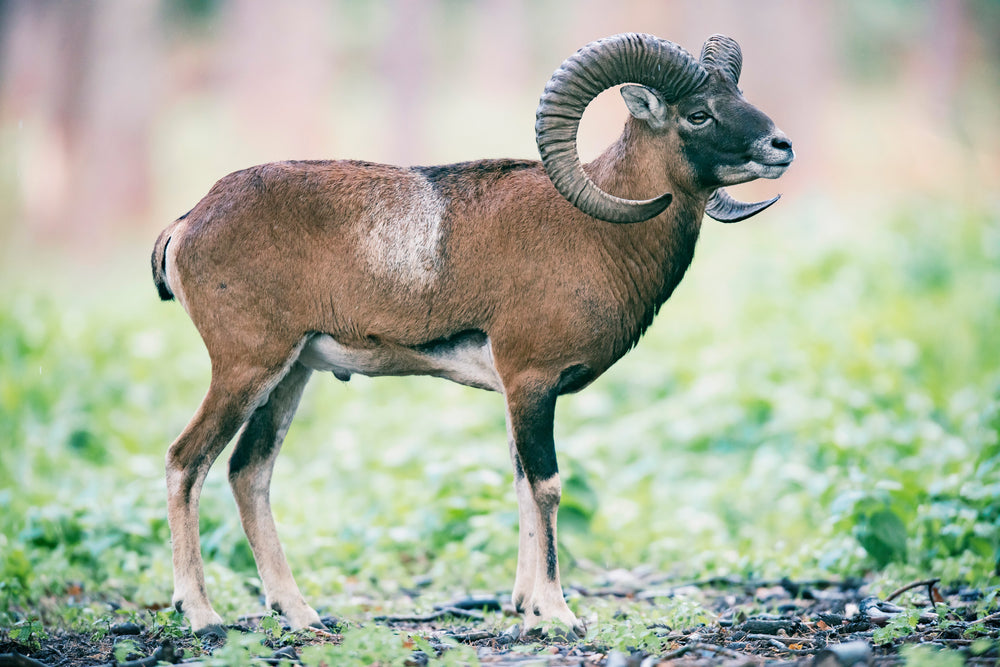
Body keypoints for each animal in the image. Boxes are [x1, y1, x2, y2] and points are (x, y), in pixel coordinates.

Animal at [151, 32, 793, 638]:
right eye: (698, 115)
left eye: (737, 96)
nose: (781, 147)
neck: (596, 235)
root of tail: (186, 223)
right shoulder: (532, 384)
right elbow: (546, 487)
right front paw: (557, 614)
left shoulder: (519, 396)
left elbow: (521, 487)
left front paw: (524, 609)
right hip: (247, 370)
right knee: (187, 461)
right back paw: (203, 615)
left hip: (290, 377)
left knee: (248, 473)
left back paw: (302, 615)